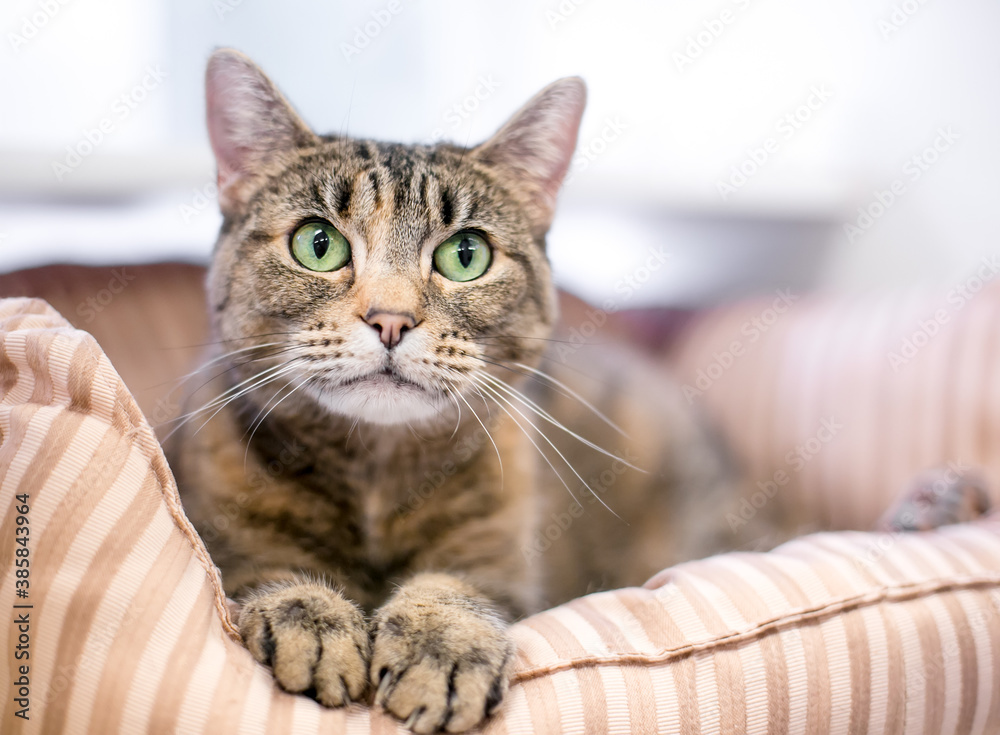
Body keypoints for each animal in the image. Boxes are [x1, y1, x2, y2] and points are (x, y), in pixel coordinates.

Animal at [166, 49, 788, 732]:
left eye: (466, 255)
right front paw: (314, 616)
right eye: (318, 244)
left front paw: (442, 647)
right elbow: (265, 566)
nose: (391, 319)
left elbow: (456, 592)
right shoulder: (224, 536)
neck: (375, 476)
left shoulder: (502, 566)